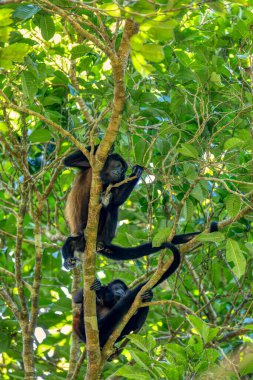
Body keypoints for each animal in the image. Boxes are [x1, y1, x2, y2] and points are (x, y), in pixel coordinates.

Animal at [62, 147, 218, 268]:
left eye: (123, 170)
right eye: (118, 166)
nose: (121, 173)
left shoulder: (117, 181)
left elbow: (117, 200)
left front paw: (136, 173)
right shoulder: (90, 164)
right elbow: (68, 161)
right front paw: (109, 147)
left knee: (112, 208)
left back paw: (102, 238)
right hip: (79, 239)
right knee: (70, 242)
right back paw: (68, 261)